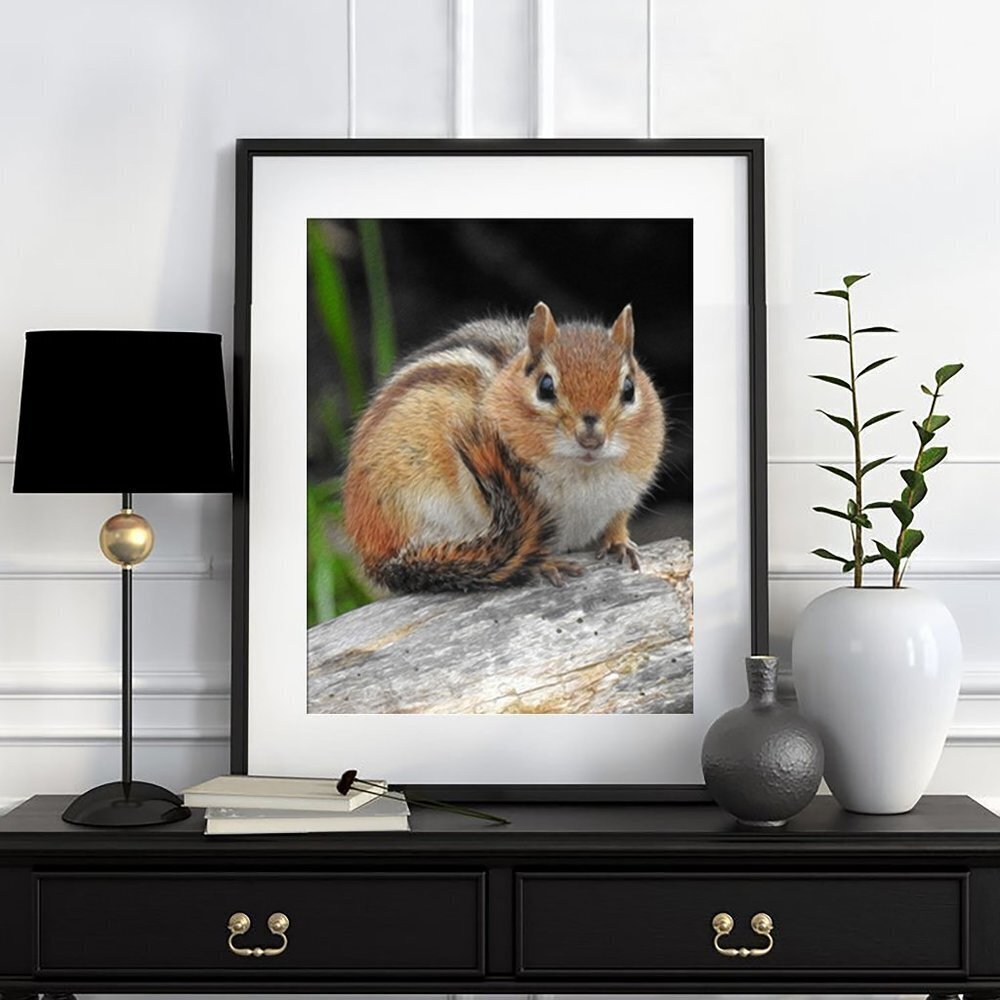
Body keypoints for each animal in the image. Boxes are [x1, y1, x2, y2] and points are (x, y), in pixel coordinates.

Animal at [343, 301, 666, 593]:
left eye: (629, 389)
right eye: (545, 387)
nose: (591, 439)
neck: (584, 471)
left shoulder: (625, 493)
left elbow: (617, 521)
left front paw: (620, 543)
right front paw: (544, 562)